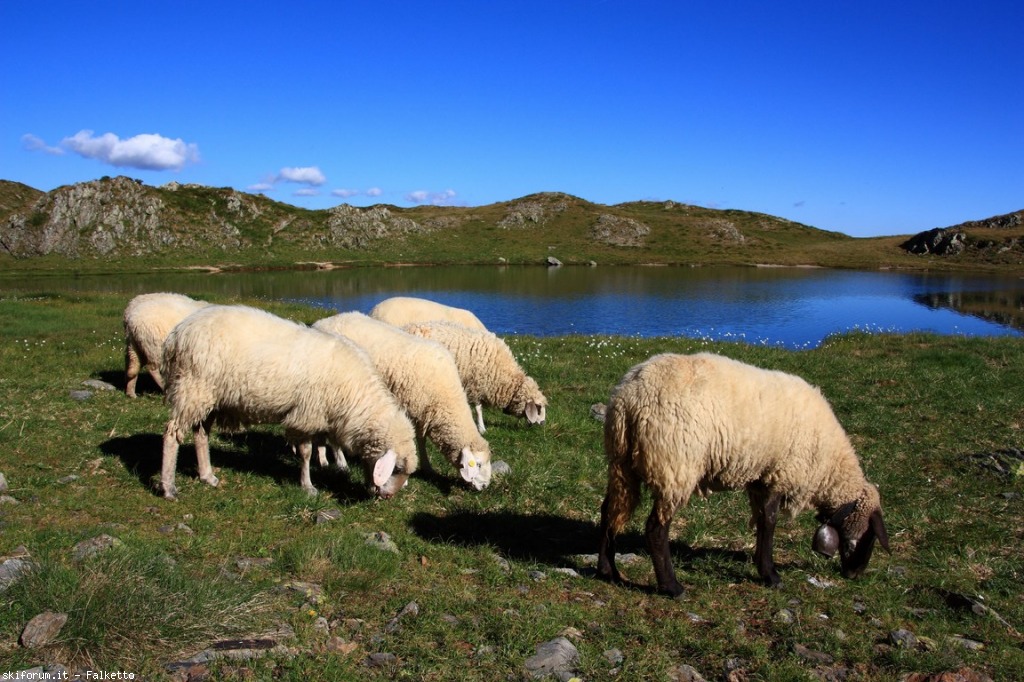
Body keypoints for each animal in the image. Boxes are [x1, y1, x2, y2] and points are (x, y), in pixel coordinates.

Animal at [159, 303, 415, 499]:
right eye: (396, 468)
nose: (387, 497)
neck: (355, 397)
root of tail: (177, 334)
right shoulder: (306, 416)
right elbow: (305, 453)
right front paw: (308, 486)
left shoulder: (321, 417)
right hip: (192, 388)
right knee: (172, 434)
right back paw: (169, 487)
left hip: (208, 396)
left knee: (201, 434)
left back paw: (207, 476)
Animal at [311, 307, 491, 489]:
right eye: (478, 464)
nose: (484, 487)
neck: (446, 397)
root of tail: (321, 322)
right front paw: (403, 480)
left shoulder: (422, 412)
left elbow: (420, 440)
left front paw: (427, 467)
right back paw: (341, 463)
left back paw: (323, 458)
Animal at [399, 319, 548, 430]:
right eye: (539, 408)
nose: (543, 424)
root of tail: (405, 327)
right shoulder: (476, 384)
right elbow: (478, 409)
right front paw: (482, 428)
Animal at [598, 350, 888, 593]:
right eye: (865, 538)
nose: (854, 575)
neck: (829, 467)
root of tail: (628, 398)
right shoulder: (780, 474)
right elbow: (770, 520)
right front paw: (771, 576)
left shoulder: (761, 478)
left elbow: (760, 519)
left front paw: (761, 564)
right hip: (675, 465)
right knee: (655, 529)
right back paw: (672, 587)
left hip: (621, 464)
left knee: (609, 510)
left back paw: (608, 571)